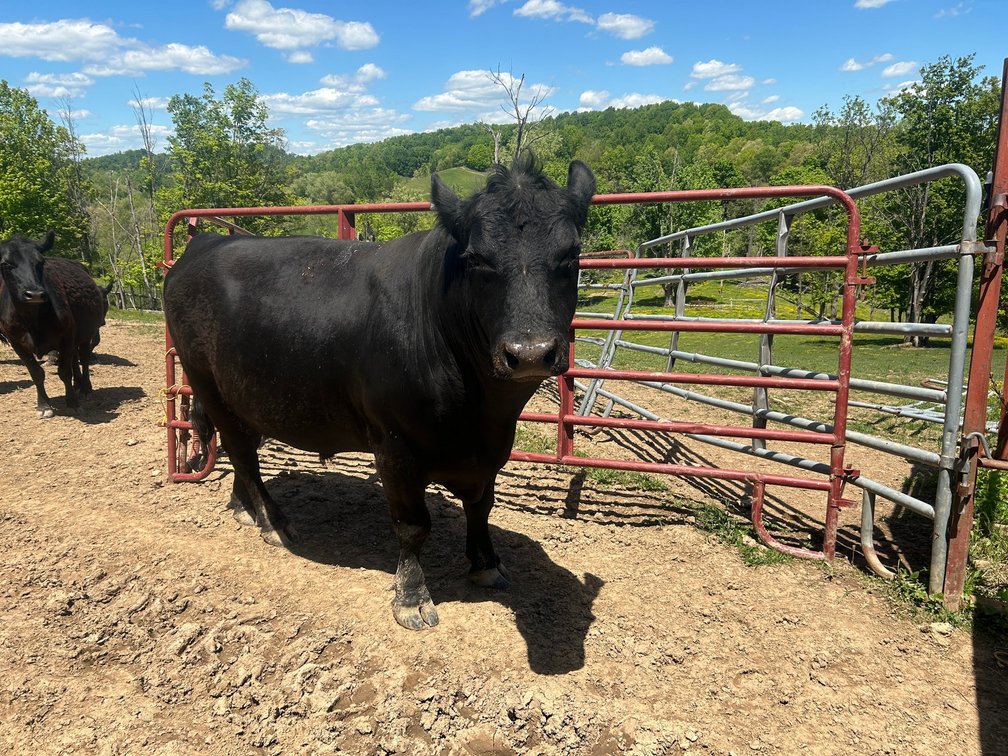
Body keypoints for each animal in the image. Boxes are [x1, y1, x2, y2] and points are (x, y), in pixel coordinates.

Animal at [0, 231, 108, 418]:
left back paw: (85, 388)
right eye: (6, 263)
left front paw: (72, 403)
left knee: (83, 360)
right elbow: (36, 373)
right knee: (74, 361)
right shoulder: (16, 342)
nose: (34, 293)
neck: (32, 320)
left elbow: (64, 371)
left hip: (85, 335)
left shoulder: (67, 336)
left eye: (40, 262)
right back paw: (77, 384)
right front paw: (44, 405)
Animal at [164, 155, 596, 630]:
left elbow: (482, 506)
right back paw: (273, 523)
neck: (481, 414)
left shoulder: (491, 450)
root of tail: (203, 244)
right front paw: (412, 596)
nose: (531, 352)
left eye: (571, 254)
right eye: (476, 258)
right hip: (206, 381)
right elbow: (413, 524)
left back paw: (243, 508)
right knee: (242, 452)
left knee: (241, 448)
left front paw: (486, 564)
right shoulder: (394, 444)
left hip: (248, 395)